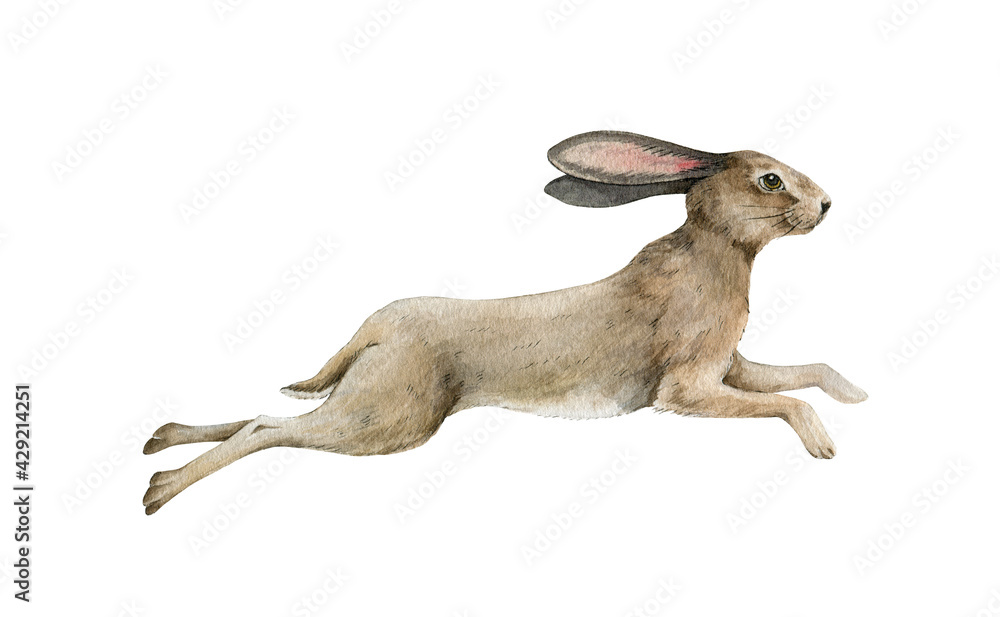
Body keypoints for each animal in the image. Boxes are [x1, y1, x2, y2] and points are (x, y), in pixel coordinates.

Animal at [143, 130, 867, 515]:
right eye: (770, 180)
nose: (828, 204)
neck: (717, 254)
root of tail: (376, 330)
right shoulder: (687, 388)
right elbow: (788, 399)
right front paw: (825, 446)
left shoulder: (731, 366)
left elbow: (811, 370)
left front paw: (858, 394)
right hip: (389, 420)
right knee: (269, 428)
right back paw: (159, 492)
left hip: (367, 404)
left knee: (263, 415)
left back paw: (158, 446)